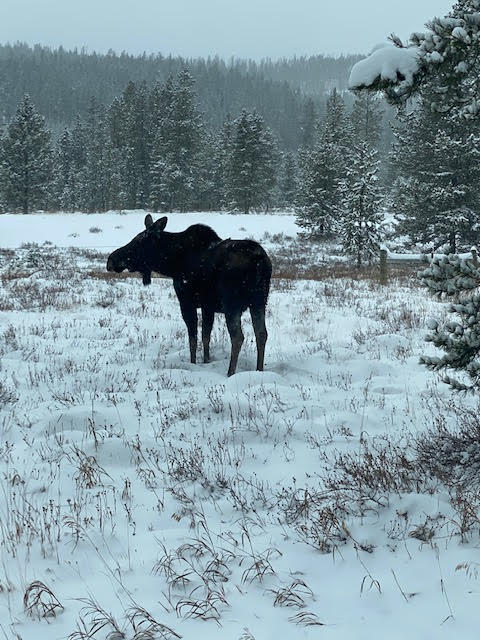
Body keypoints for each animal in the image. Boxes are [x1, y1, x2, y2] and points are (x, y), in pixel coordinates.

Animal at [107, 215, 272, 376]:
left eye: (138, 241)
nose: (111, 260)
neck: (170, 263)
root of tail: (260, 260)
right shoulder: (207, 306)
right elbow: (206, 336)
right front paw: (206, 361)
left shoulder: (186, 302)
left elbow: (193, 338)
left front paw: (193, 363)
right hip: (259, 302)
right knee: (261, 333)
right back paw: (259, 370)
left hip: (232, 304)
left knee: (238, 337)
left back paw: (230, 373)